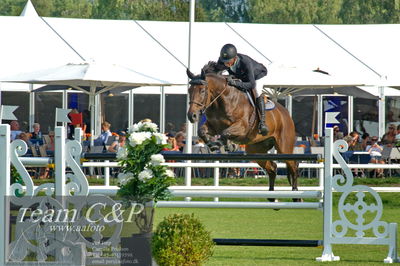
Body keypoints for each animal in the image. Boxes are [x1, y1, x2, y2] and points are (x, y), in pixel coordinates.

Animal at [186, 64, 298, 197]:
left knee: (293, 166)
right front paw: (213, 145)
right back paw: (272, 197)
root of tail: (286, 114)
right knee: (272, 168)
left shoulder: (242, 127)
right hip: (256, 151)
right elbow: (202, 131)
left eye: (202, 91)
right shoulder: (213, 126)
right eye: (189, 91)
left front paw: (230, 145)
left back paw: (296, 195)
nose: (191, 116)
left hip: (283, 147)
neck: (222, 100)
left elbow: (225, 133)